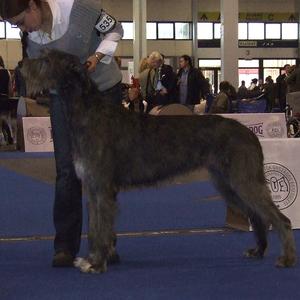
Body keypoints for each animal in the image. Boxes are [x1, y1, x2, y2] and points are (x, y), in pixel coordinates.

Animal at [22, 49, 296, 274]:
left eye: (47, 59)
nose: (20, 64)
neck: (88, 111)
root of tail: (251, 133)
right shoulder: (91, 185)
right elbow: (95, 227)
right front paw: (92, 259)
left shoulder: (102, 185)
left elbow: (101, 227)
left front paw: (97, 263)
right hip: (226, 183)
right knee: (257, 216)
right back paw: (258, 250)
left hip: (243, 178)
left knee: (279, 218)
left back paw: (286, 258)